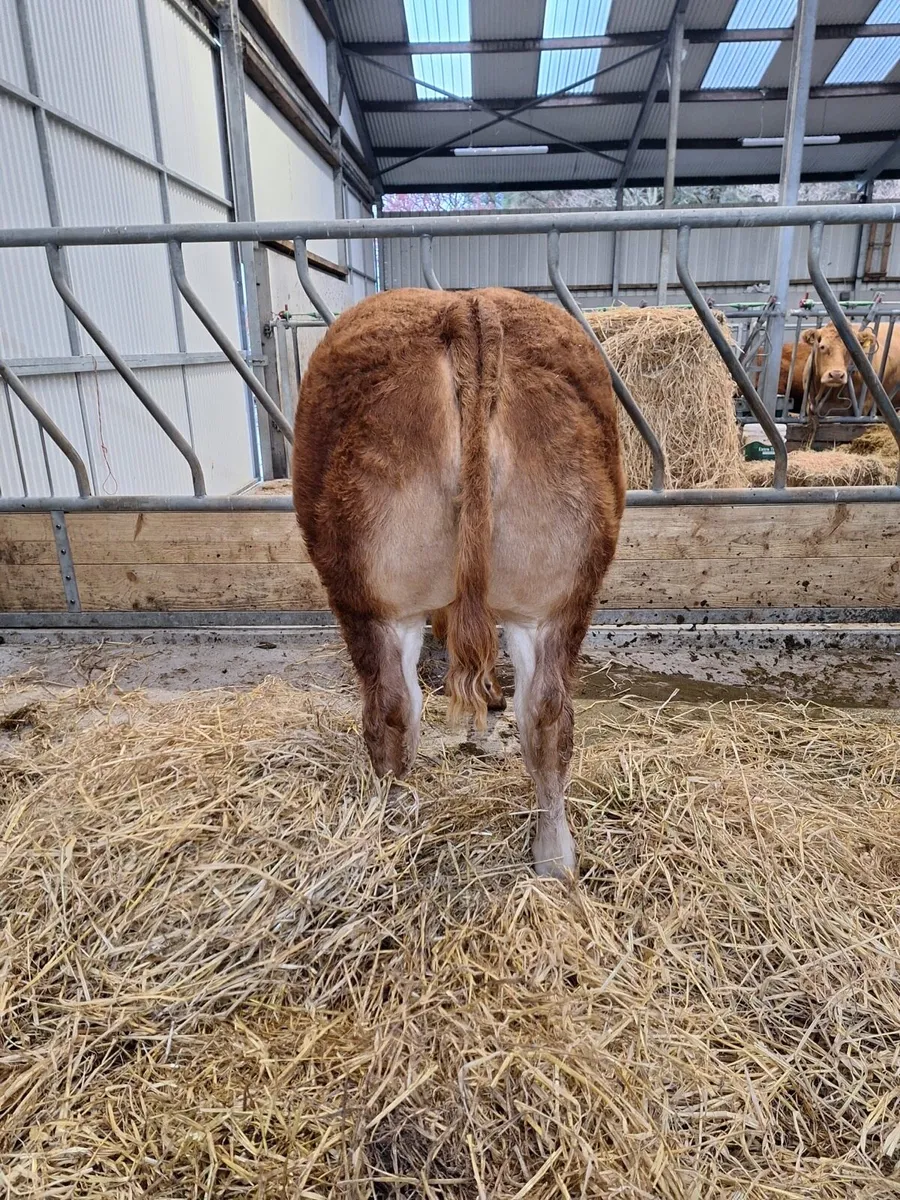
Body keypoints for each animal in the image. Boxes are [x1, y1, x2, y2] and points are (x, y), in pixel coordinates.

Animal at [292, 287, 625, 878]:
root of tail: (466, 309)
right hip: (560, 596)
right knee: (547, 719)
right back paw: (554, 858)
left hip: (368, 597)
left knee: (392, 710)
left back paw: (384, 828)